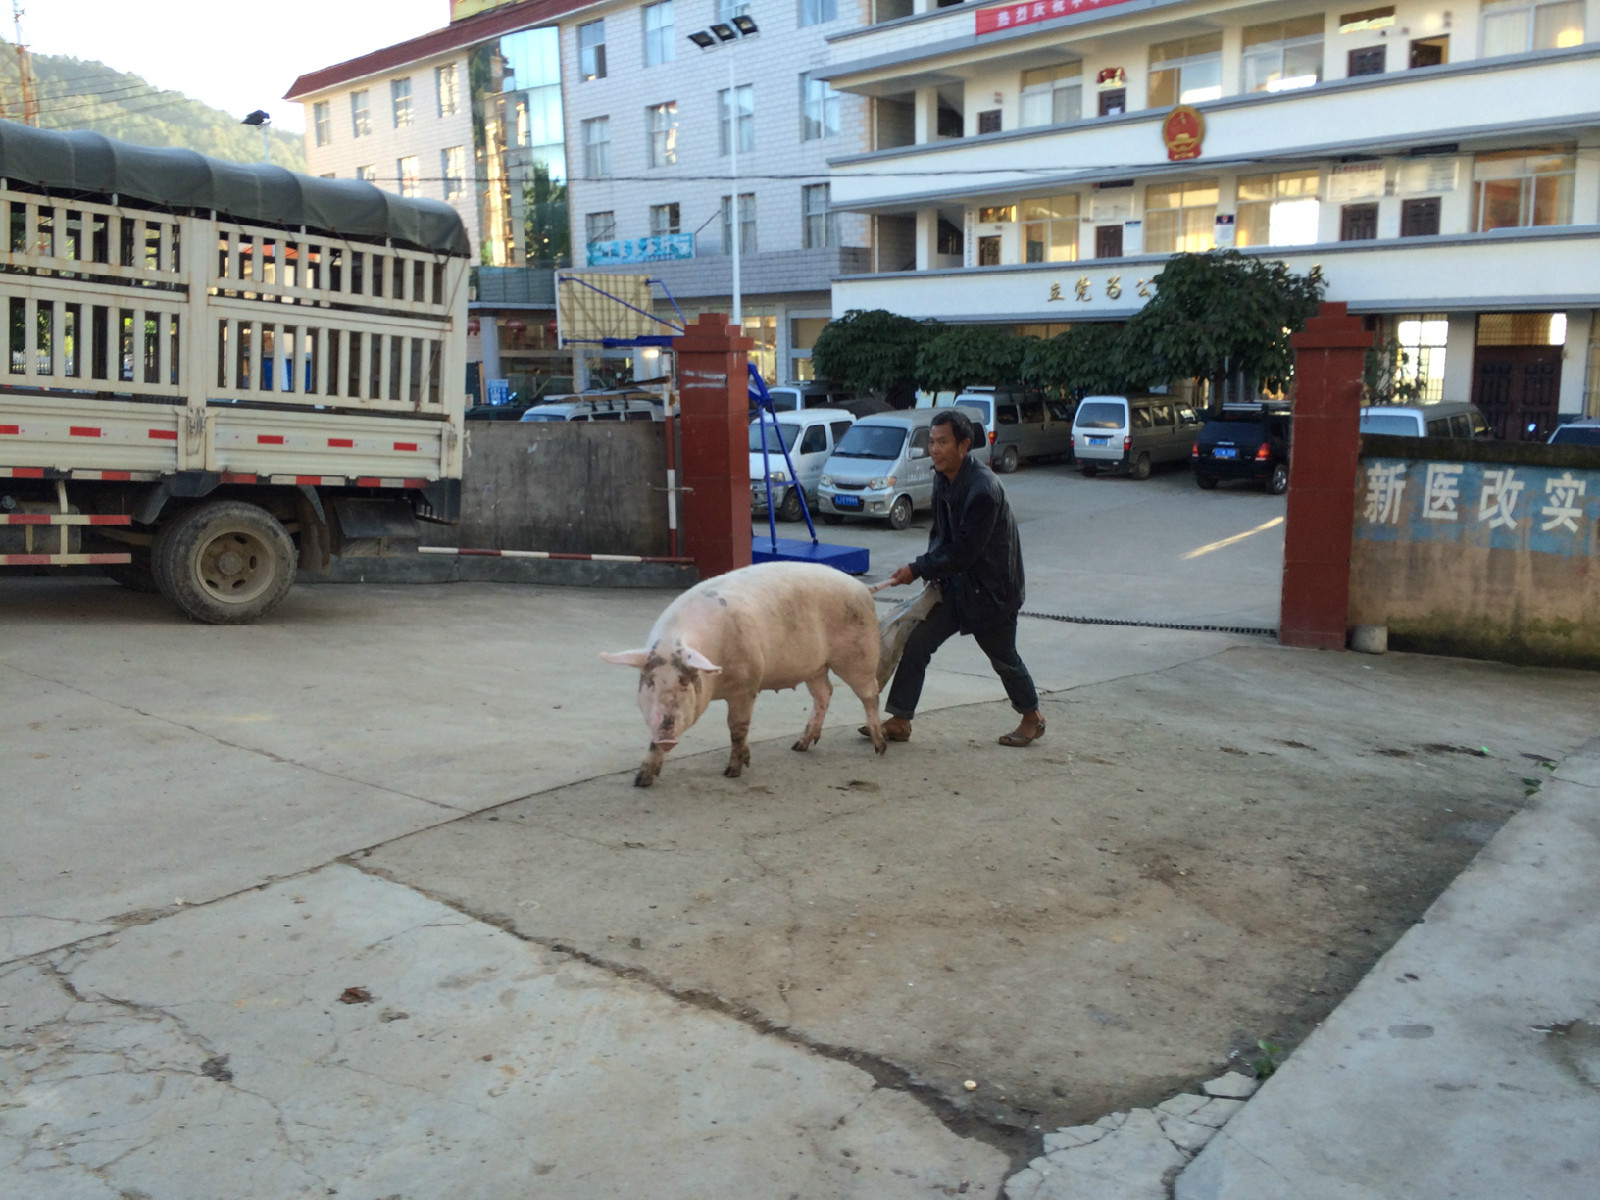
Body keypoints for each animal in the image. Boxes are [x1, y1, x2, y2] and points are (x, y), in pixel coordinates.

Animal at [604, 563, 896, 790]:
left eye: (684, 682)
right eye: (650, 682)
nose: (666, 731)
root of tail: (863, 588)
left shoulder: (747, 685)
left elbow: (737, 728)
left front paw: (733, 771)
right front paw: (641, 780)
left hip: (858, 654)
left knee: (870, 694)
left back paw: (880, 747)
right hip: (815, 666)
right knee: (824, 694)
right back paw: (800, 745)